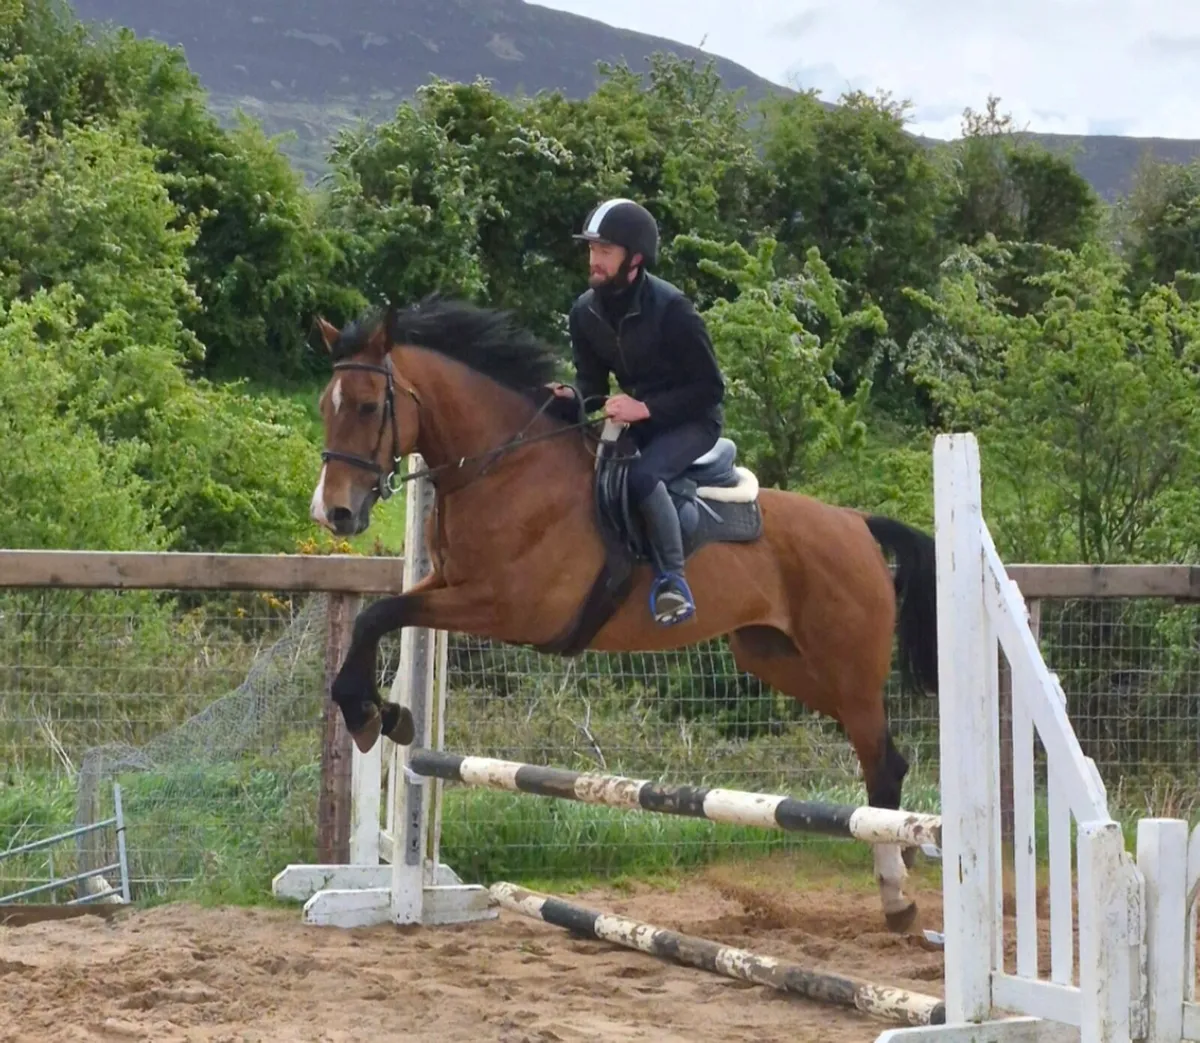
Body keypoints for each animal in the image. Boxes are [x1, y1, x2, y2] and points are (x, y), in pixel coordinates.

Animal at [307, 295, 941, 935]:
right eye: (325, 407)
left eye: (367, 406)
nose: (332, 513)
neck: (508, 469)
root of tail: (857, 523)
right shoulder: (447, 585)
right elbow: (378, 617)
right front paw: (382, 714)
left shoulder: (503, 606)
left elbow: (380, 613)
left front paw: (367, 713)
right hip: (777, 658)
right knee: (878, 753)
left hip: (846, 666)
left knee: (882, 761)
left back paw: (897, 893)